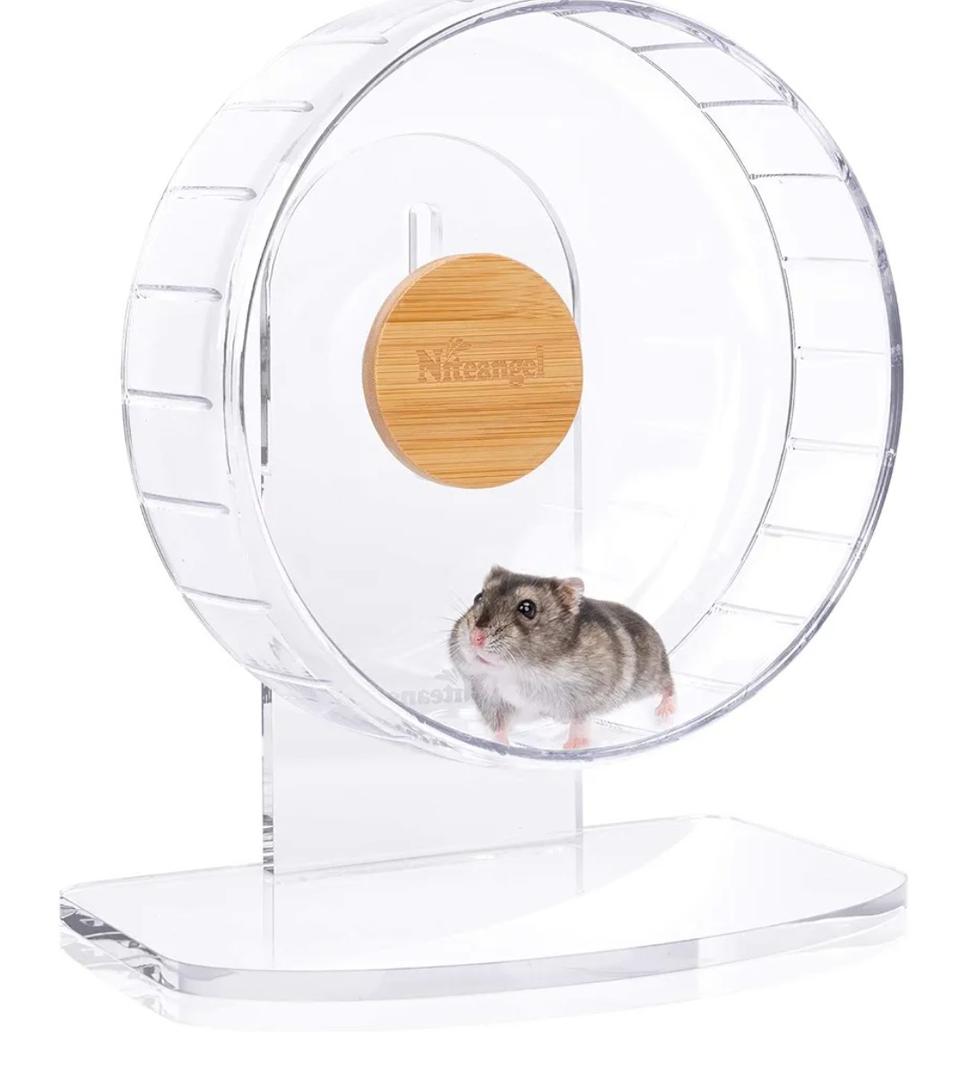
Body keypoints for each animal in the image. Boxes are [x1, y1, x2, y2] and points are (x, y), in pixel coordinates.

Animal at [449, 566, 677, 749]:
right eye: (478, 597)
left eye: (527, 608)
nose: (475, 637)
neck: (519, 671)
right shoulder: (488, 696)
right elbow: (498, 725)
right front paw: (500, 744)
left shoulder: (588, 695)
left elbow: (580, 720)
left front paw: (572, 746)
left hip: (650, 677)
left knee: (668, 685)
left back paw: (665, 712)